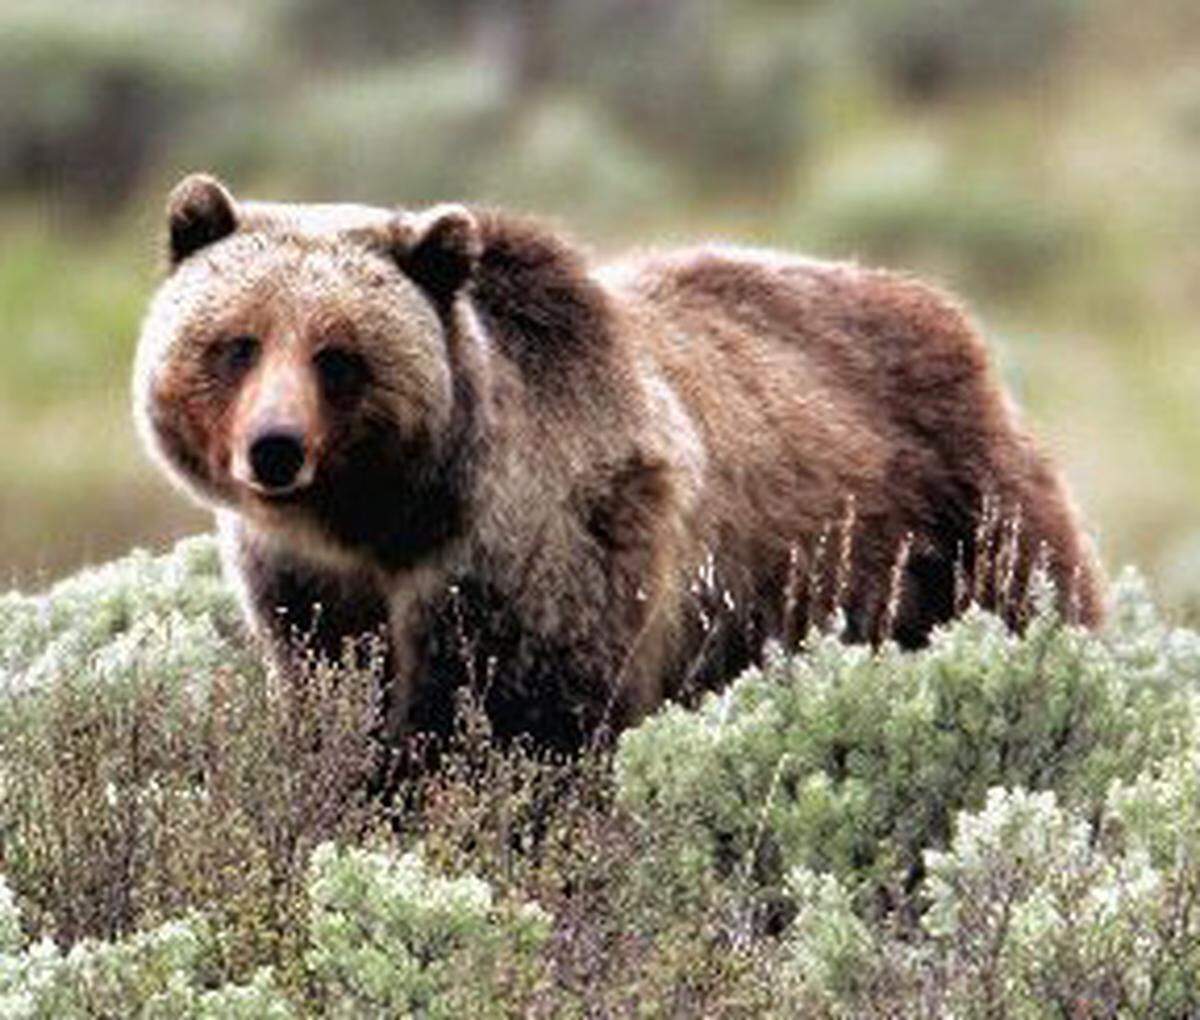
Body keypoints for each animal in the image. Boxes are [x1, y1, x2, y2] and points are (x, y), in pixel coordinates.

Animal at [134, 173, 1104, 752]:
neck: (390, 519)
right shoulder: (309, 586)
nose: (275, 449)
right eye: (238, 343)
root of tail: (958, 323)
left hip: (956, 530)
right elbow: (339, 694)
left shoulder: (543, 547)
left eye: (339, 356)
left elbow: (521, 721)